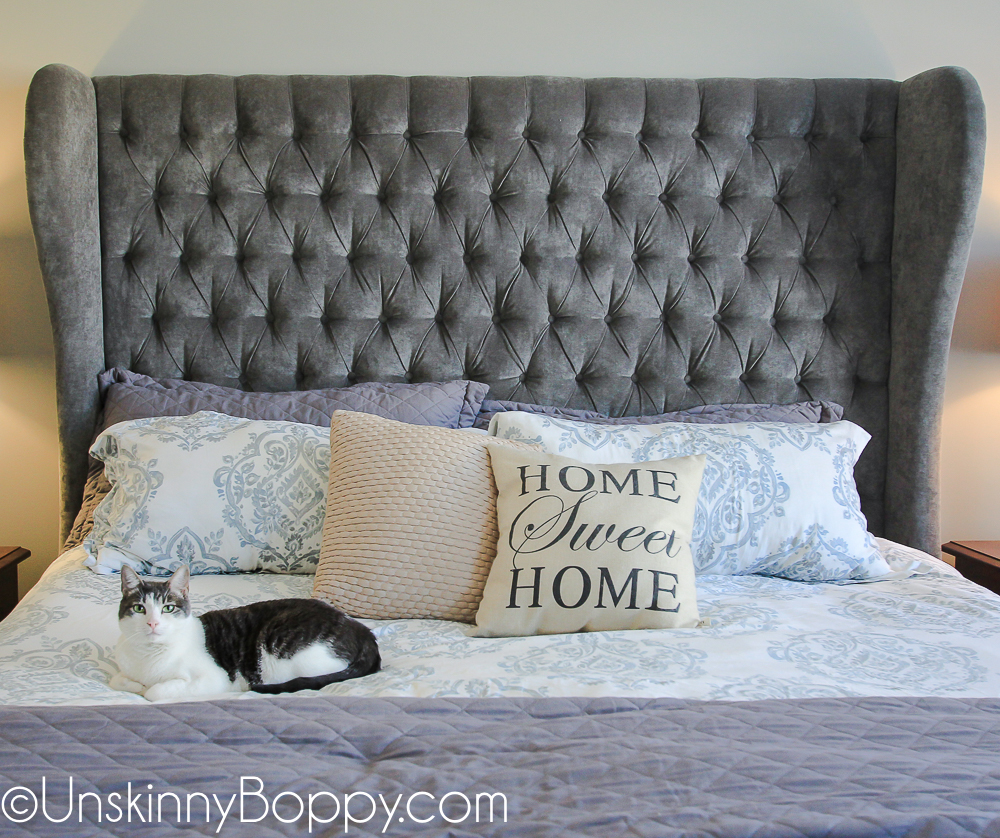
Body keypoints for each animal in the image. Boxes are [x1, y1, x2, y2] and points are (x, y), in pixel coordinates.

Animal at [111, 564, 380, 704]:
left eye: (168, 608)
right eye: (139, 608)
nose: (153, 623)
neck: (148, 657)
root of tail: (361, 629)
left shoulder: (214, 678)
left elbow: (154, 692)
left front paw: (146, 688)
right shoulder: (122, 669)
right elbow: (120, 680)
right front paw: (136, 684)